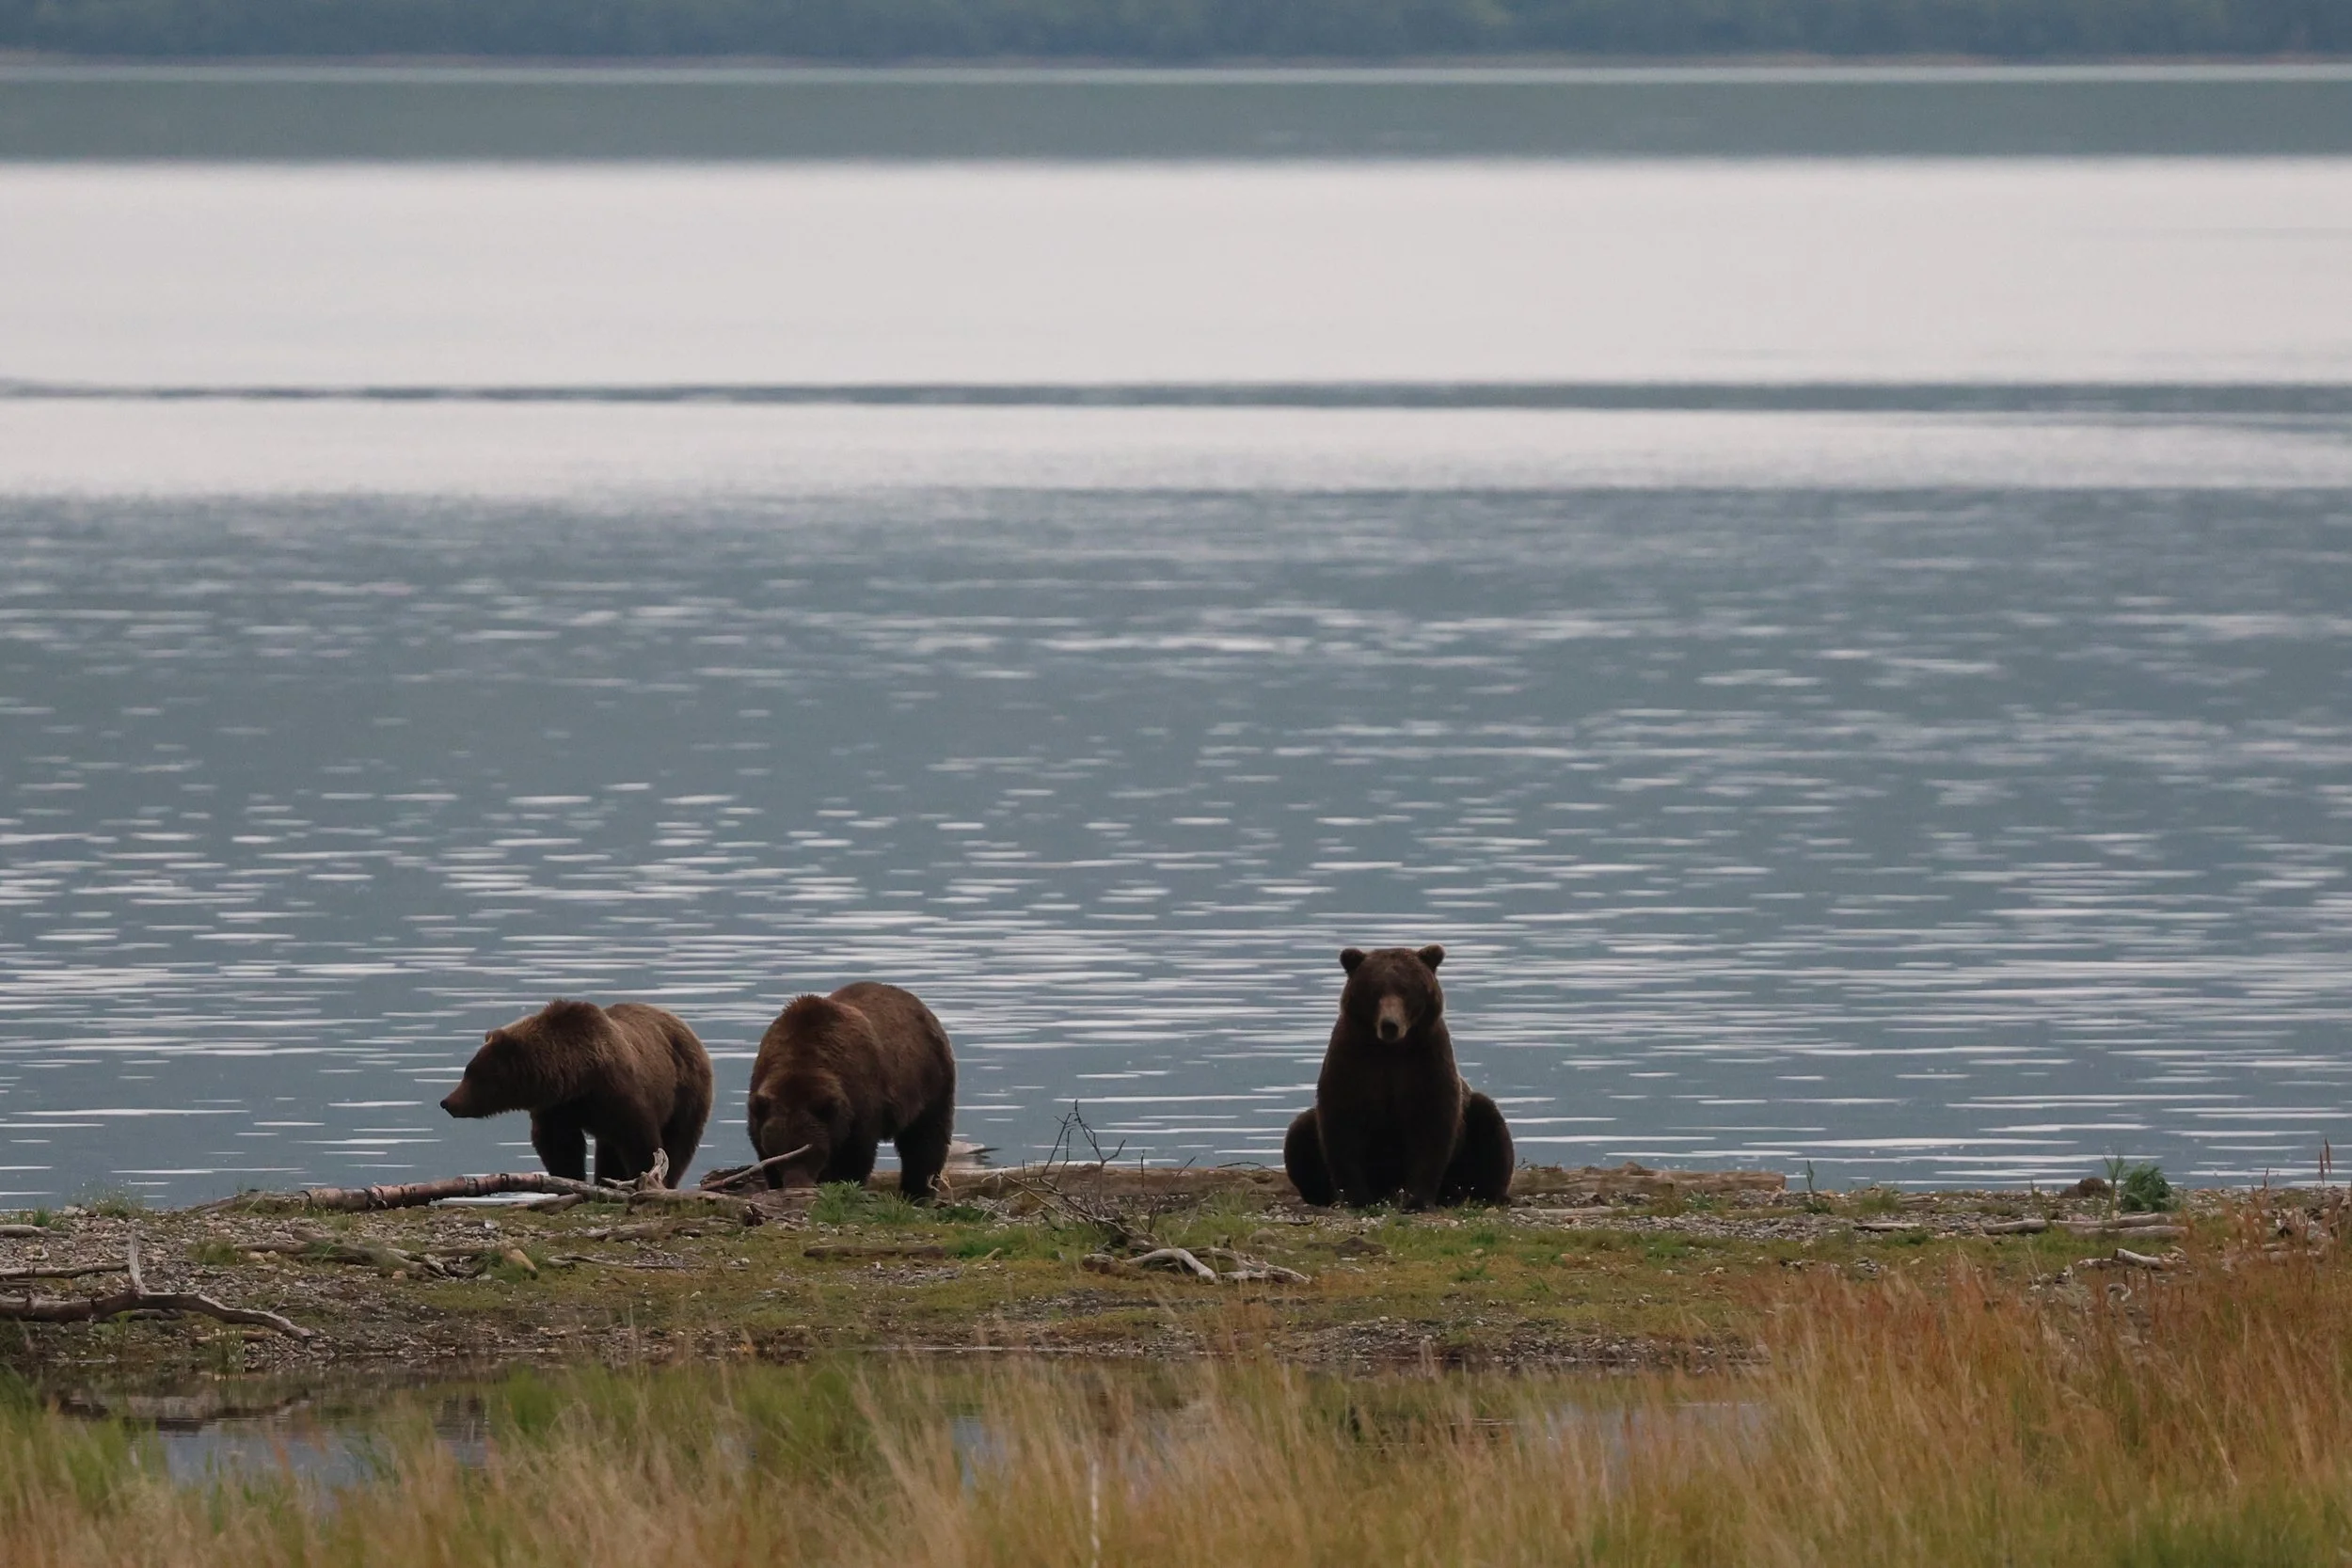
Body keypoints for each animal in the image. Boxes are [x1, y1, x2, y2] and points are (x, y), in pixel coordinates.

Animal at [439, 998, 713, 1187]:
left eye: (472, 1074)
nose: (447, 1102)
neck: (578, 1077)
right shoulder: (556, 1109)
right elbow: (559, 1145)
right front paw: (569, 1179)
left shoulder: (620, 1094)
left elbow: (641, 1140)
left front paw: (643, 1178)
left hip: (686, 1092)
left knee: (679, 1141)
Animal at [745, 981, 957, 1200]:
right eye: (779, 1153)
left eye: (813, 1152)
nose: (797, 1185)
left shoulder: (859, 1101)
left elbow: (854, 1157)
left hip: (930, 1082)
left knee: (925, 1142)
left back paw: (918, 1192)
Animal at [1282, 945, 1514, 1209]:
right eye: (1375, 989)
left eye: (1406, 989)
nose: (1390, 1024)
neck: (1390, 1050)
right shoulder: (1352, 1064)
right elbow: (1342, 1128)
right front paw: (1357, 1198)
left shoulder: (1425, 1064)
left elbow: (1431, 1127)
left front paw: (1417, 1201)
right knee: (1299, 1131)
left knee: (1490, 1125)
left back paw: (1483, 1194)